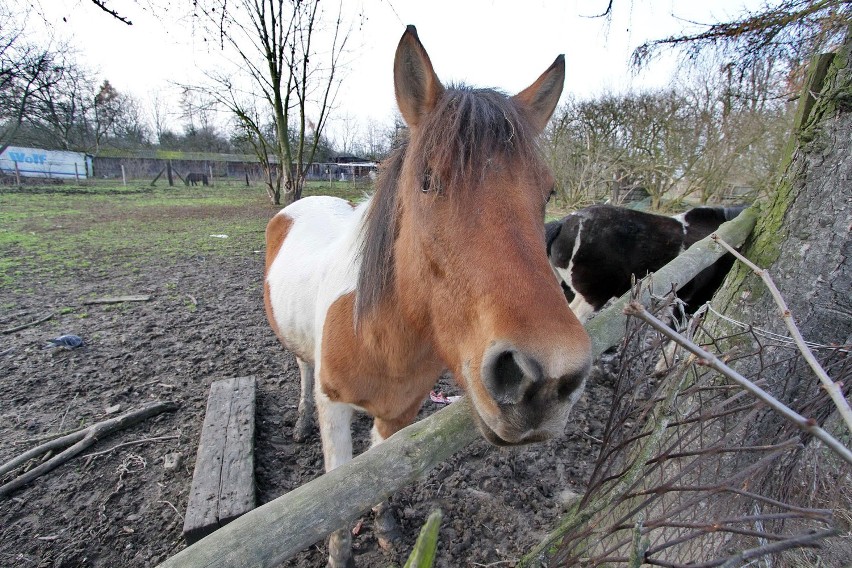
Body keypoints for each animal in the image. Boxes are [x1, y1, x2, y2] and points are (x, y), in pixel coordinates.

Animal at [262, 24, 588, 564]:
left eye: (547, 193)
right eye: (428, 181)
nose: (545, 379)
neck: (379, 336)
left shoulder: (402, 412)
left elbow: (379, 475)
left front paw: (386, 527)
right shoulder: (336, 407)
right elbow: (336, 497)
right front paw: (340, 552)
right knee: (302, 369)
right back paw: (300, 421)